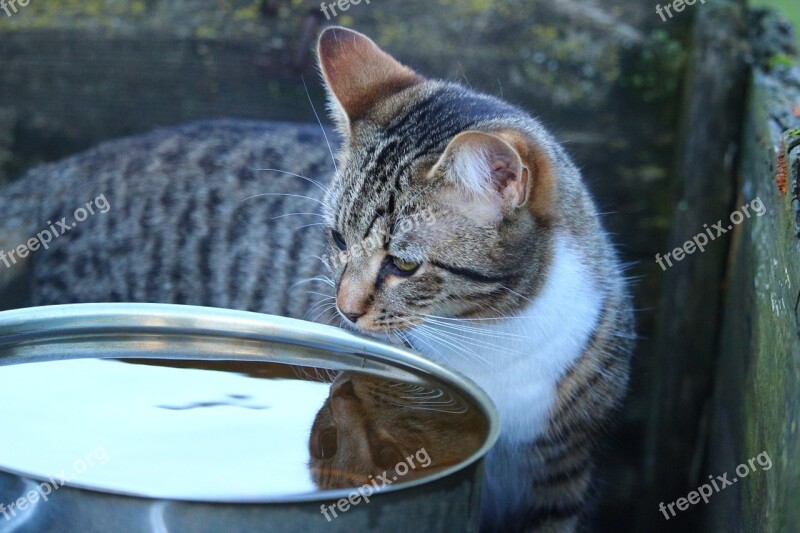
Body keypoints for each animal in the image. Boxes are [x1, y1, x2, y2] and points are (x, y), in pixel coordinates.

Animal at [1, 28, 636, 532]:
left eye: (405, 265)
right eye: (336, 240)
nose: (346, 309)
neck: (491, 333)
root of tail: (68, 169)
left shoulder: (562, 473)